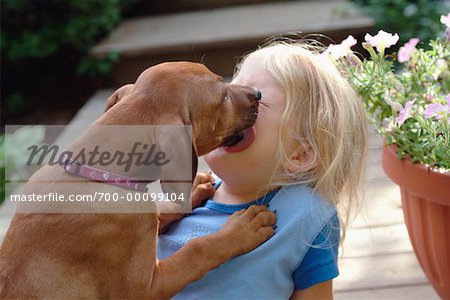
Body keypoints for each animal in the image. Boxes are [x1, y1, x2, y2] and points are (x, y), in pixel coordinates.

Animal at [0, 62, 276, 298]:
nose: (258, 93)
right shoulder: (144, 288)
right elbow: (197, 250)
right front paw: (243, 229)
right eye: (224, 97)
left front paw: (196, 190)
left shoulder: (146, 221)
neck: (101, 174)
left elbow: (163, 210)